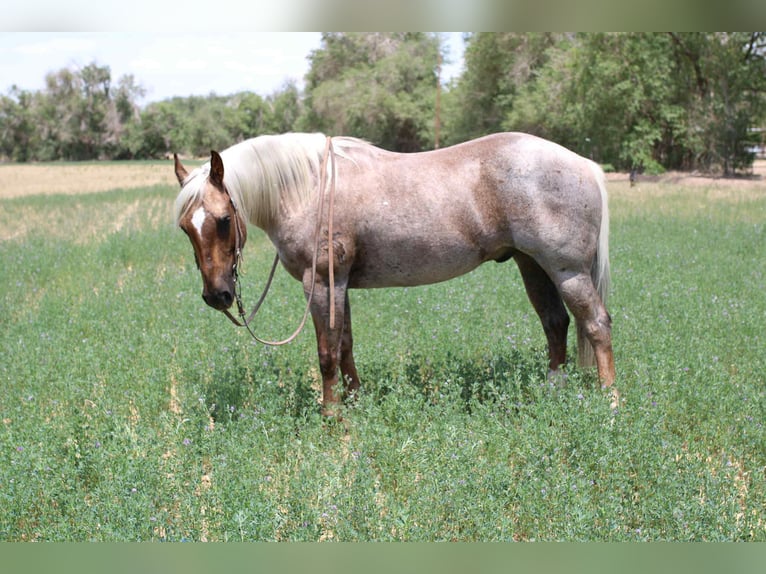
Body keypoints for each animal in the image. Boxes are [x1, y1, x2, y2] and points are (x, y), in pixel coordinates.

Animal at [173, 132, 616, 416]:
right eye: (184, 227)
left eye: (223, 220)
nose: (217, 295)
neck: (310, 188)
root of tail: (586, 166)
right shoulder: (341, 284)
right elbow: (345, 346)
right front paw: (355, 403)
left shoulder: (321, 284)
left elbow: (326, 354)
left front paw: (331, 417)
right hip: (532, 265)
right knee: (556, 324)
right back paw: (553, 392)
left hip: (568, 271)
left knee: (596, 325)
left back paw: (609, 402)